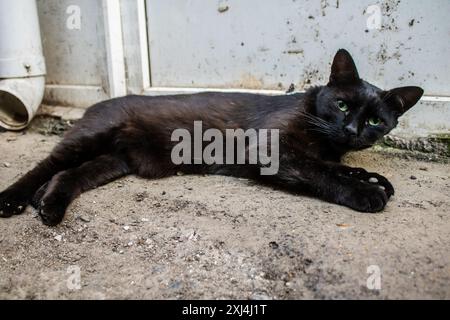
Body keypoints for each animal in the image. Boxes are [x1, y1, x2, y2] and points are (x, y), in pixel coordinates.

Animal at [0, 49, 422, 225]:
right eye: (343, 105)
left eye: (375, 120)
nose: (351, 131)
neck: (326, 140)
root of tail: (96, 104)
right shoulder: (271, 150)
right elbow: (319, 171)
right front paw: (365, 192)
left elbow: (329, 166)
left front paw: (370, 178)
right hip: (89, 137)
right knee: (46, 166)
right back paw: (13, 199)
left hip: (113, 160)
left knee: (67, 174)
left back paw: (49, 205)